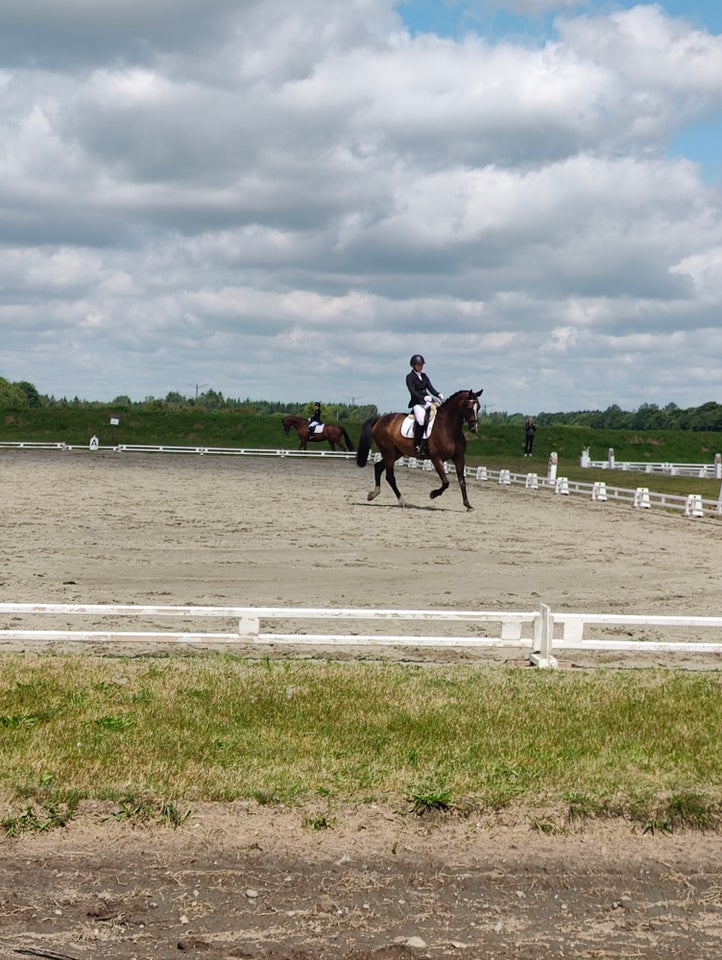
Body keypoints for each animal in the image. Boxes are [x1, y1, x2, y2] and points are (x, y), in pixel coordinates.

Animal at [352, 388, 480, 512]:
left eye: (478, 407)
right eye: (469, 407)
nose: (474, 428)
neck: (448, 428)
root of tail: (380, 420)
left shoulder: (459, 458)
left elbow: (462, 481)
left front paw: (468, 505)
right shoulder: (436, 458)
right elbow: (446, 482)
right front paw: (433, 494)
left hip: (396, 453)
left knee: (378, 467)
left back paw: (373, 494)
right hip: (388, 452)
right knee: (390, 477)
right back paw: (402, 502)